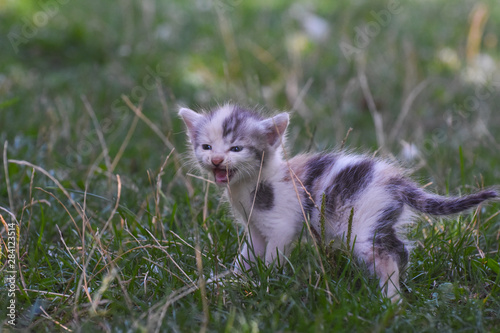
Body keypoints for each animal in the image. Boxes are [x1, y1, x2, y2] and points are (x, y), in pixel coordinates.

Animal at [179, 102, 496, 300]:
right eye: (206, 146)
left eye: (236, 148)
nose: (216, 160)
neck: (252, 184)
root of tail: (396, 181)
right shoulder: (253, 225)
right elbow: (247, 254)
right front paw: (232, 279)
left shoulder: (281, 225)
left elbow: (272, 255)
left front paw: (265, 282)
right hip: (378, 219)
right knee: (400, 248)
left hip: (359, 226)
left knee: (386, 257)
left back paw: (390, 300)